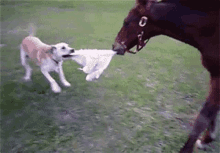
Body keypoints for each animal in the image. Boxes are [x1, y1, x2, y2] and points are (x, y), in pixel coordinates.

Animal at [112, 0, 219, 153]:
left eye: (126, 22)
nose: (114, 46)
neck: (212, 28)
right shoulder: (215, 75)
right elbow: (212, 113)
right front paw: (206, 140)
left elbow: (203, 118)